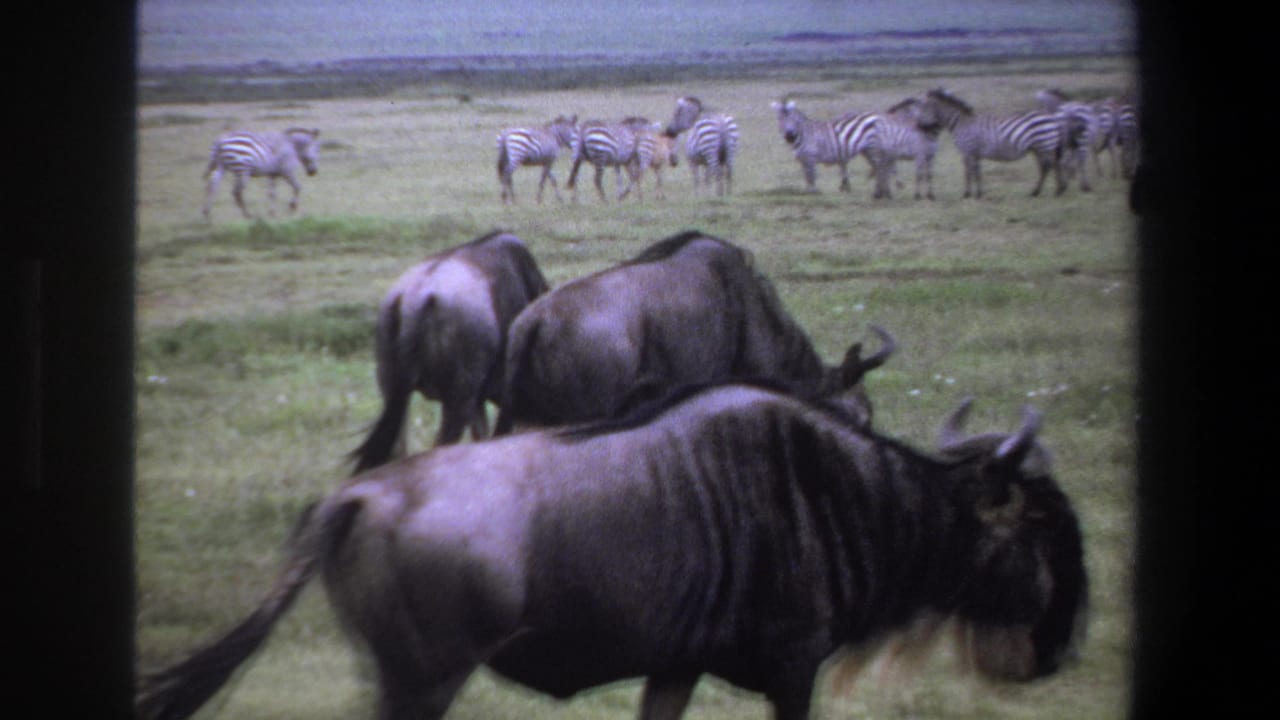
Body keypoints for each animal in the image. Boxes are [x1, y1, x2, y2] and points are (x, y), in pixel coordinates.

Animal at [923, 89, 1080, 198]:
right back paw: (1043, 191)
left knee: (1053, 165)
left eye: (922, 109)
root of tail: (1051, 116)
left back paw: (1055, 190)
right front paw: (978, 194)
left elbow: (968, 173)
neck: (960, 123)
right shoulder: (975, 153)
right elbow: (977, 173)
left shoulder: (968, 151)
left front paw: (967, 195)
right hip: (1038, 147)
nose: (922, 128)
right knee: (1047, 166)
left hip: (1045, 144)